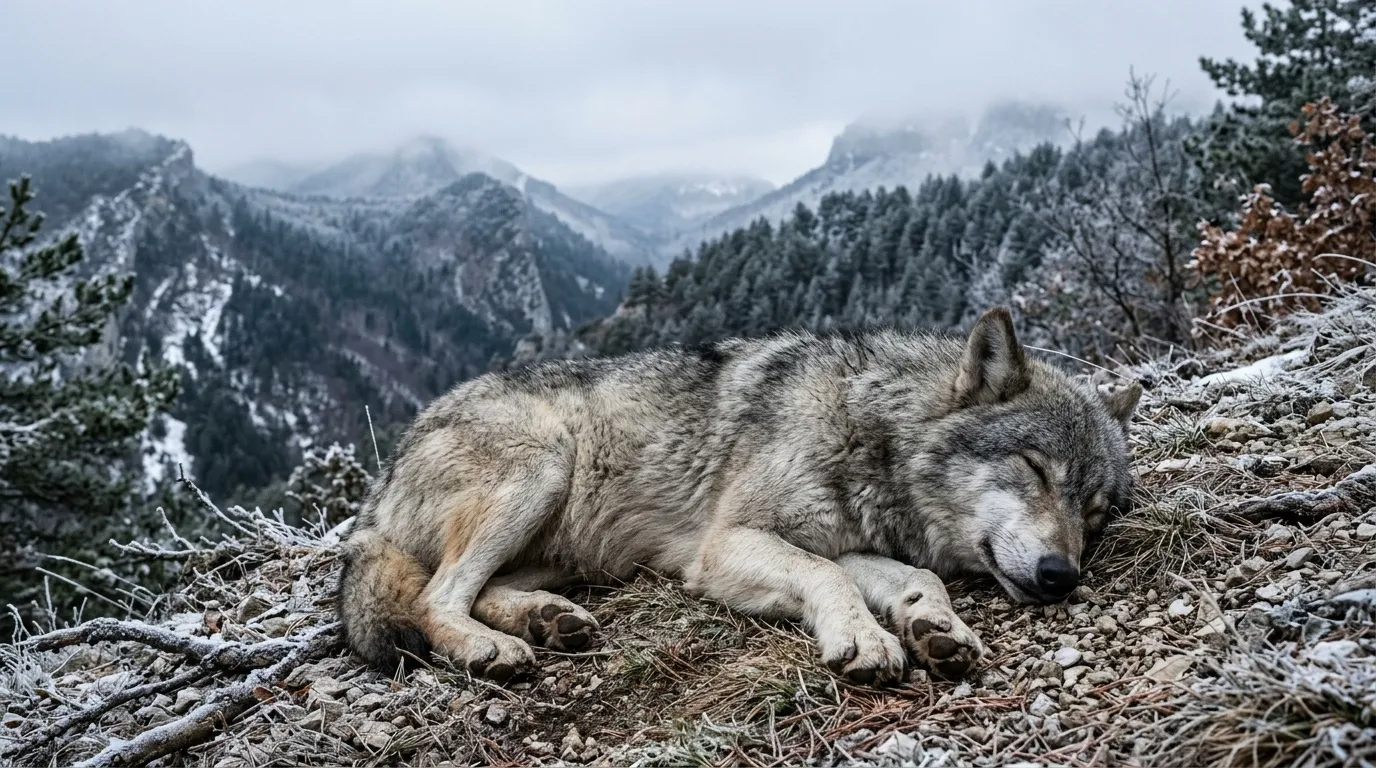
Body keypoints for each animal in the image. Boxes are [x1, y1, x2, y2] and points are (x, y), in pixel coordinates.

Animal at [337, 307, 1140, 685]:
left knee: (480, 588)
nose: (1061, 576)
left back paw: (547, 621)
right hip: (541, 472)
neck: (869, 430)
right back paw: (491, 647)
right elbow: (823, 578)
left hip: (571, 549)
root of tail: (380, 482)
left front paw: (931, 624)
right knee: (436, 597)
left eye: (1095, 513)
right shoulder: (730, 544)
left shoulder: (847, 543)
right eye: (1035, 470)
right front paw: (865, 639)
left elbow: (912, 577)